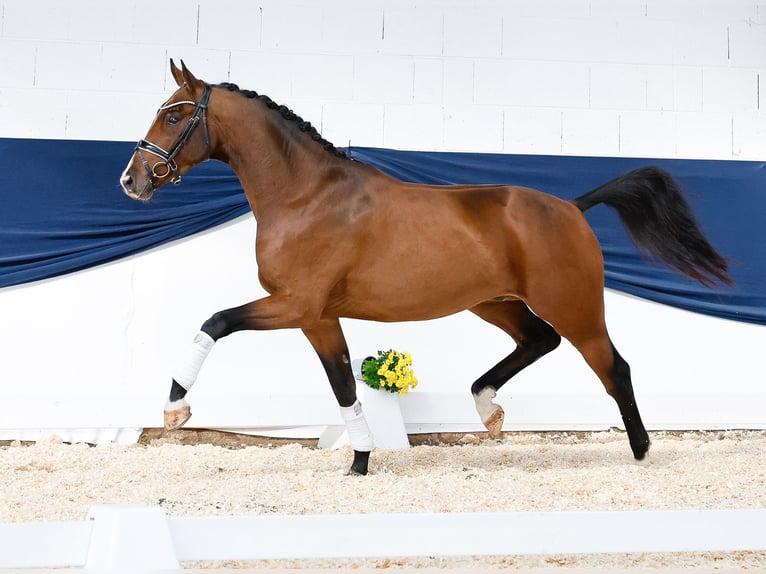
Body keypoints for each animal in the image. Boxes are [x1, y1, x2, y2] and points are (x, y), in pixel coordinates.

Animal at [120, 62, 732, 476]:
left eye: (174, 113)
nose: (132, 180)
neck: (306, 196)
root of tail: (571, 207)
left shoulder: (296, 306)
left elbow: (216, 322)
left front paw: (175, 409)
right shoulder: (317, 317)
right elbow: (343, 384)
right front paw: (360, 462)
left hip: (574, 306)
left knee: (613, 367)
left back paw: (642, 451)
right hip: (494, 304)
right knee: (540, 341)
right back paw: (488, 410)